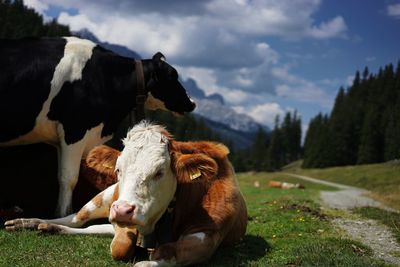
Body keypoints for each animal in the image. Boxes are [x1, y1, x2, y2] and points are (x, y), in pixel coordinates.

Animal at [5, 122, 247, 266]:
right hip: (105, 197)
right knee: (76, 219)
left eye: (159, 172)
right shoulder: (122, 218)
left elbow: (167, 252)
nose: (122, 210)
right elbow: (120, 247)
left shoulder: (208, 235)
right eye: (118, 169)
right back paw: (31, 222)